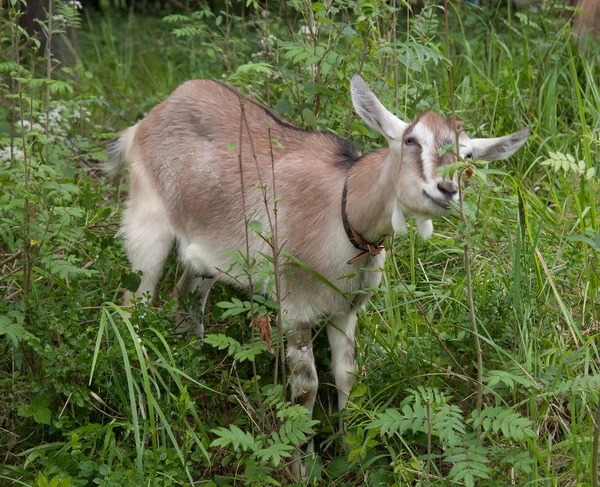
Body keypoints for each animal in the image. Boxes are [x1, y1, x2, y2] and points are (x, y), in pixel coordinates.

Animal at [109, 73, 528, 462]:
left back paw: (191, 361)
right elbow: (306, 388)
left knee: (185, 296)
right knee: (134, 306)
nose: (446, 190)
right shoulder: (295, 311)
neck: (344, 212)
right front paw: (304, 462)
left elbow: (348, 376)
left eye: (468, 156)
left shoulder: (346, 310)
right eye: (411, 140)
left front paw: (347, 450)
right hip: (147, 226)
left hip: (204, 254)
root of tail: (149, 118)